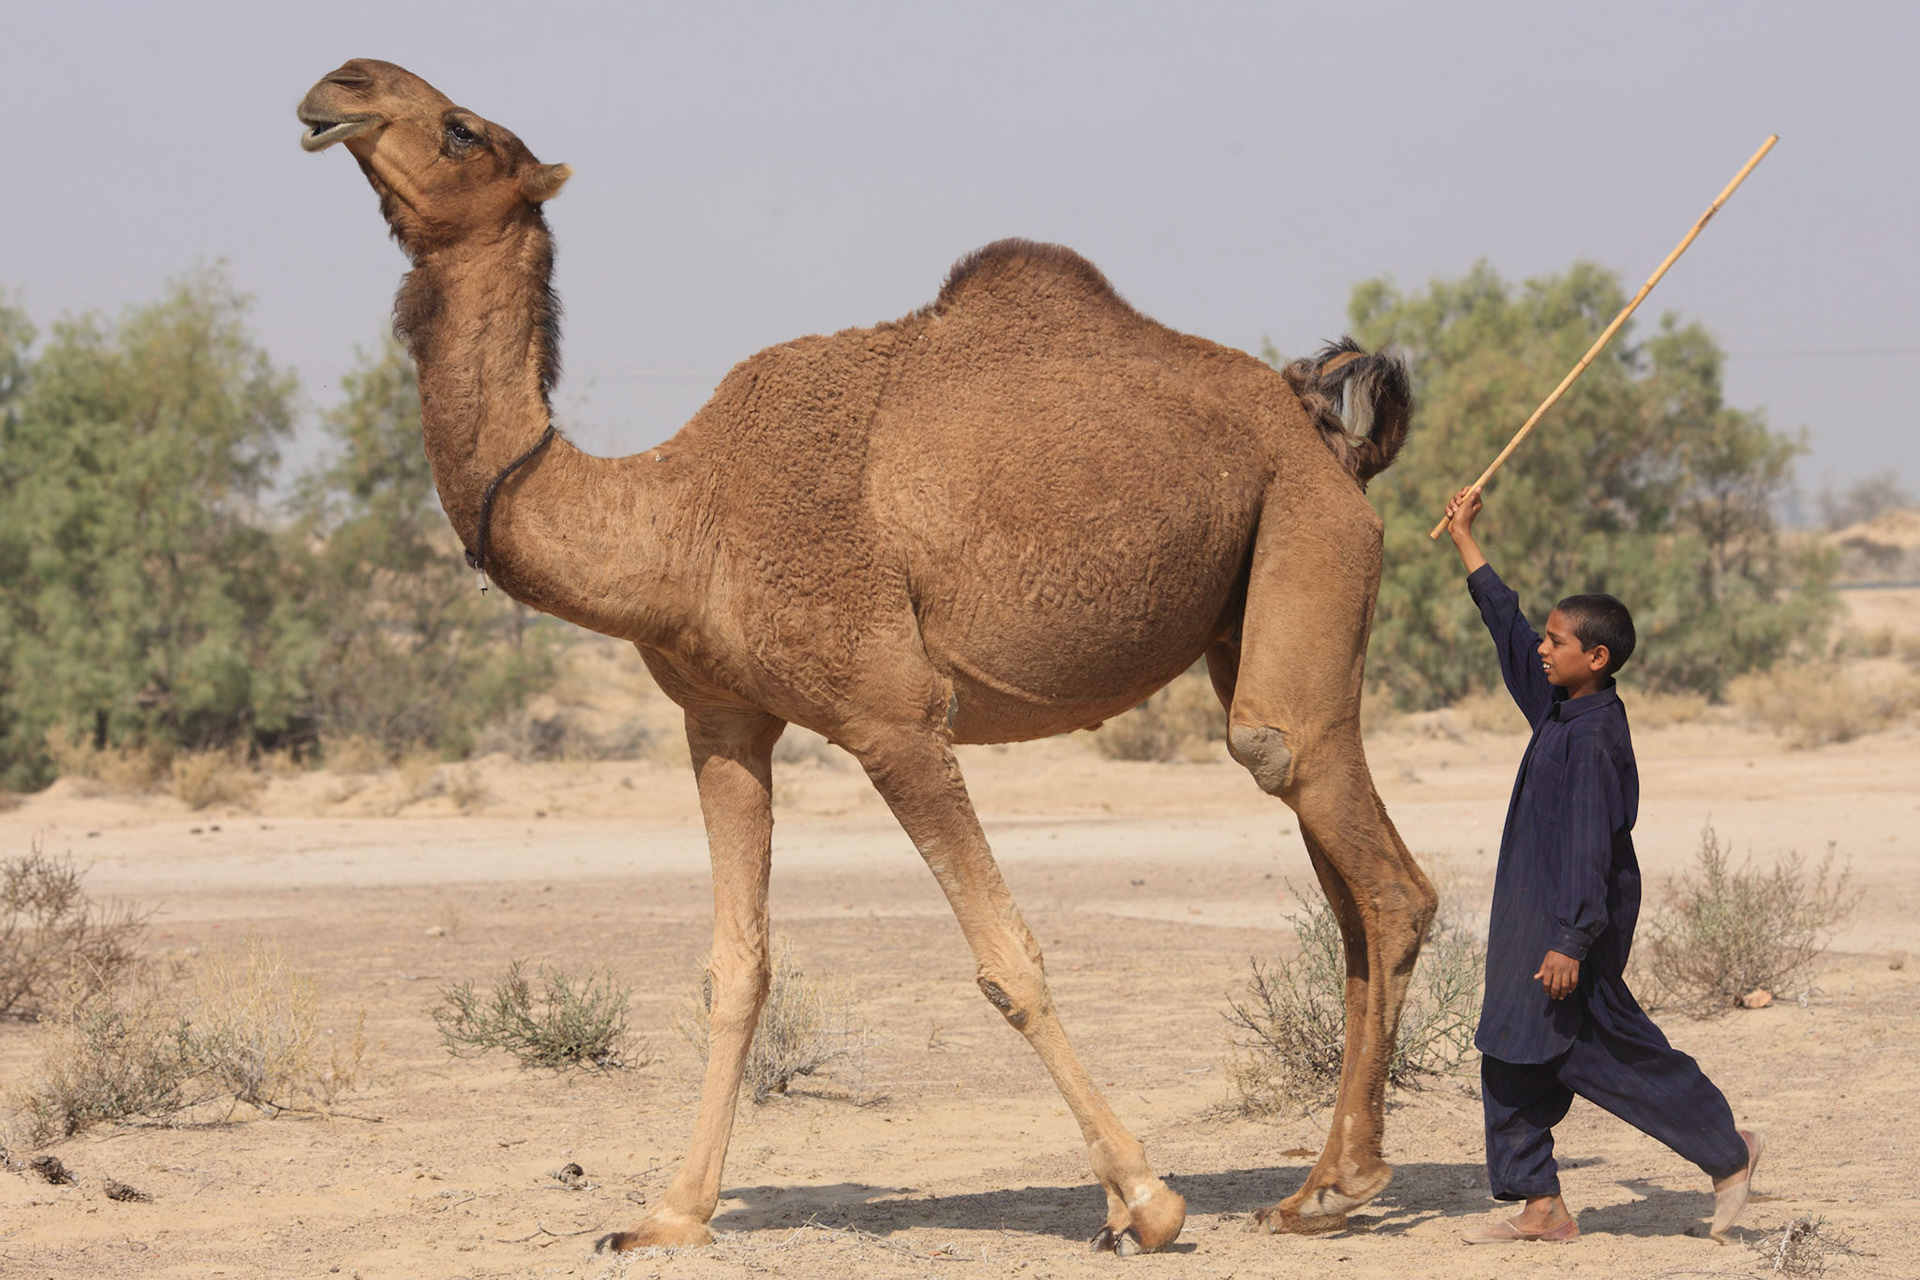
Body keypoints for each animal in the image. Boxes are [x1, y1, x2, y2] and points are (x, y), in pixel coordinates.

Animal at [296, 59, 1437, 1255]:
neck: (676, 513)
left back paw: (1339, 1184)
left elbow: (1009, 960)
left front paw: (1148, 1199)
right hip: (1244, 597)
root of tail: (1326, 429)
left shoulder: (893, 714)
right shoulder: (720, 719)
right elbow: (737, 966)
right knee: (1337, 870)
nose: (339, 84)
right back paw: (1321, 1180)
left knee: (1336, 818)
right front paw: (666, 1213)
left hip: (1306, 530)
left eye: (462, 131)